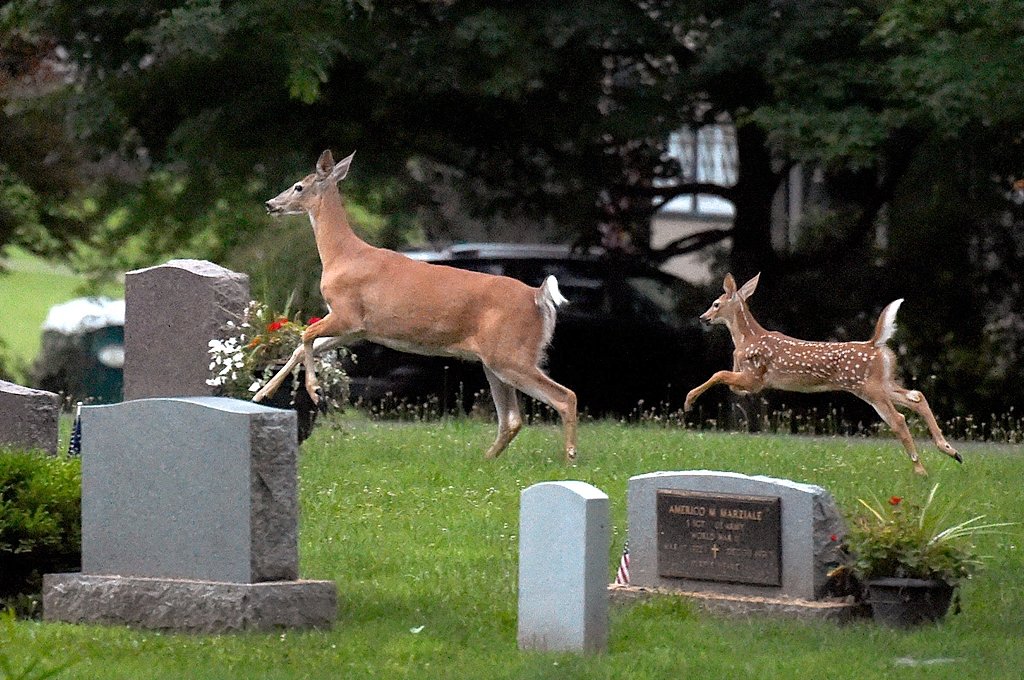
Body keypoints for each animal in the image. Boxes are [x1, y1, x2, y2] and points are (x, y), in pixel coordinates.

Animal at [252, 149, 578, 463]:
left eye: (299, 186)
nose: (270, 204)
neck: (341, 256)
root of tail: (537, 295)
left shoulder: (347, 313)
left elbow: (304, 334)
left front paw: (314, 390)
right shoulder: (359, 329)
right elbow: (302, 345)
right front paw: (261, 394)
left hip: (511, 353)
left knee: (565, 396)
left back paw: (569, 459)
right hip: (496, 360)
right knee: (512, 419)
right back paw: (486, 461)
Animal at [683, 273, 962, 475]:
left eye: (716, 303)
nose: (703, 317)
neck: (746, 339)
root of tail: (875, 344)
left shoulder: (755, 376)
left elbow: (719, 373)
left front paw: (689, 401)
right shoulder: (752, 381)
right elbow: (729, 381)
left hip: (868, 388)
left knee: (899, 419)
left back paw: (920, 469)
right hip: (883, 383)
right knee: (917, 396)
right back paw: (951, 451)